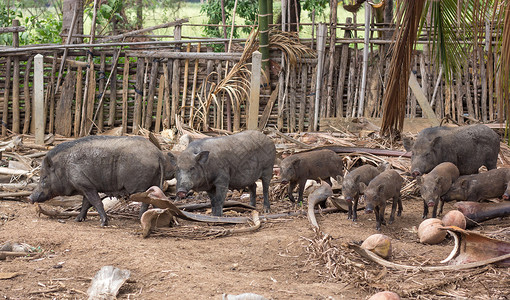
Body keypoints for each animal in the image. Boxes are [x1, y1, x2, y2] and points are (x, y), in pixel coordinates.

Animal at [30, 135, 177, 225]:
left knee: (146, 201)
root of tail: (158, 154)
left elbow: (96, 202)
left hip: (142, 184)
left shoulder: (86, 185)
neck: (64, 167)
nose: (30, 198)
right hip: (156, 182)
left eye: (44, 177)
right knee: (156, 199)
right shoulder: (86, 187)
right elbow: (86, 204)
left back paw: (139, 218)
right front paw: (77, 220)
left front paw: (103, 223)